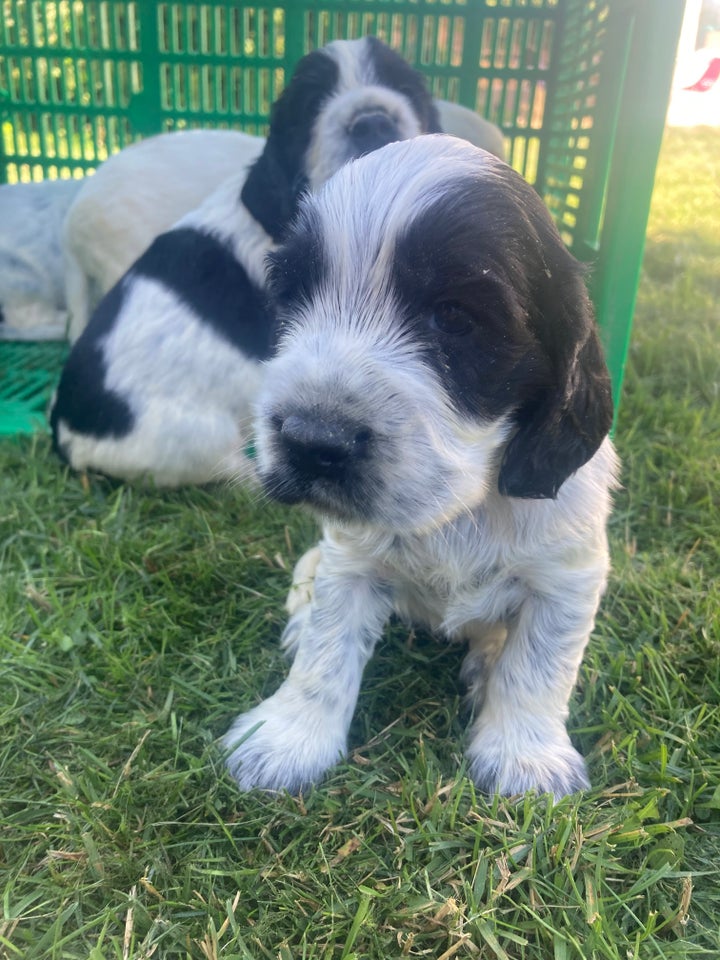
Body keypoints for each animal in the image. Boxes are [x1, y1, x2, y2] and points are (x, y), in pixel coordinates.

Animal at [224, 131, 620, 800]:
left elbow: (538, 665)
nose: (309, 440)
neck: (462, 508)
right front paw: (286, 739)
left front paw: (524, 757)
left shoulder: (568, 578)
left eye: (456, 317)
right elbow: (327, 652)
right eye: (293, 297)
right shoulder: (350, 561)